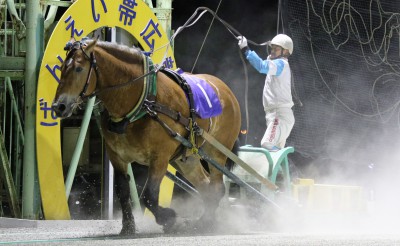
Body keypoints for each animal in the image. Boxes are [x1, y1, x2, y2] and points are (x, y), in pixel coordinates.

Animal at [52, 38, 241, 234]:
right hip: (186, 158)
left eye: (78, 68)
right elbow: (123, 191)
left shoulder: (160, 158)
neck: (143, 102)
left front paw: (168, 218)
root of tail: (225, 89)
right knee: (206, 187)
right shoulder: (117, 156)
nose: (59, 106)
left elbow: (150, 195)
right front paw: (128, 226)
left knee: (216, 188)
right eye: (62, 67)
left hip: (216, 153)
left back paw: (207, 222)